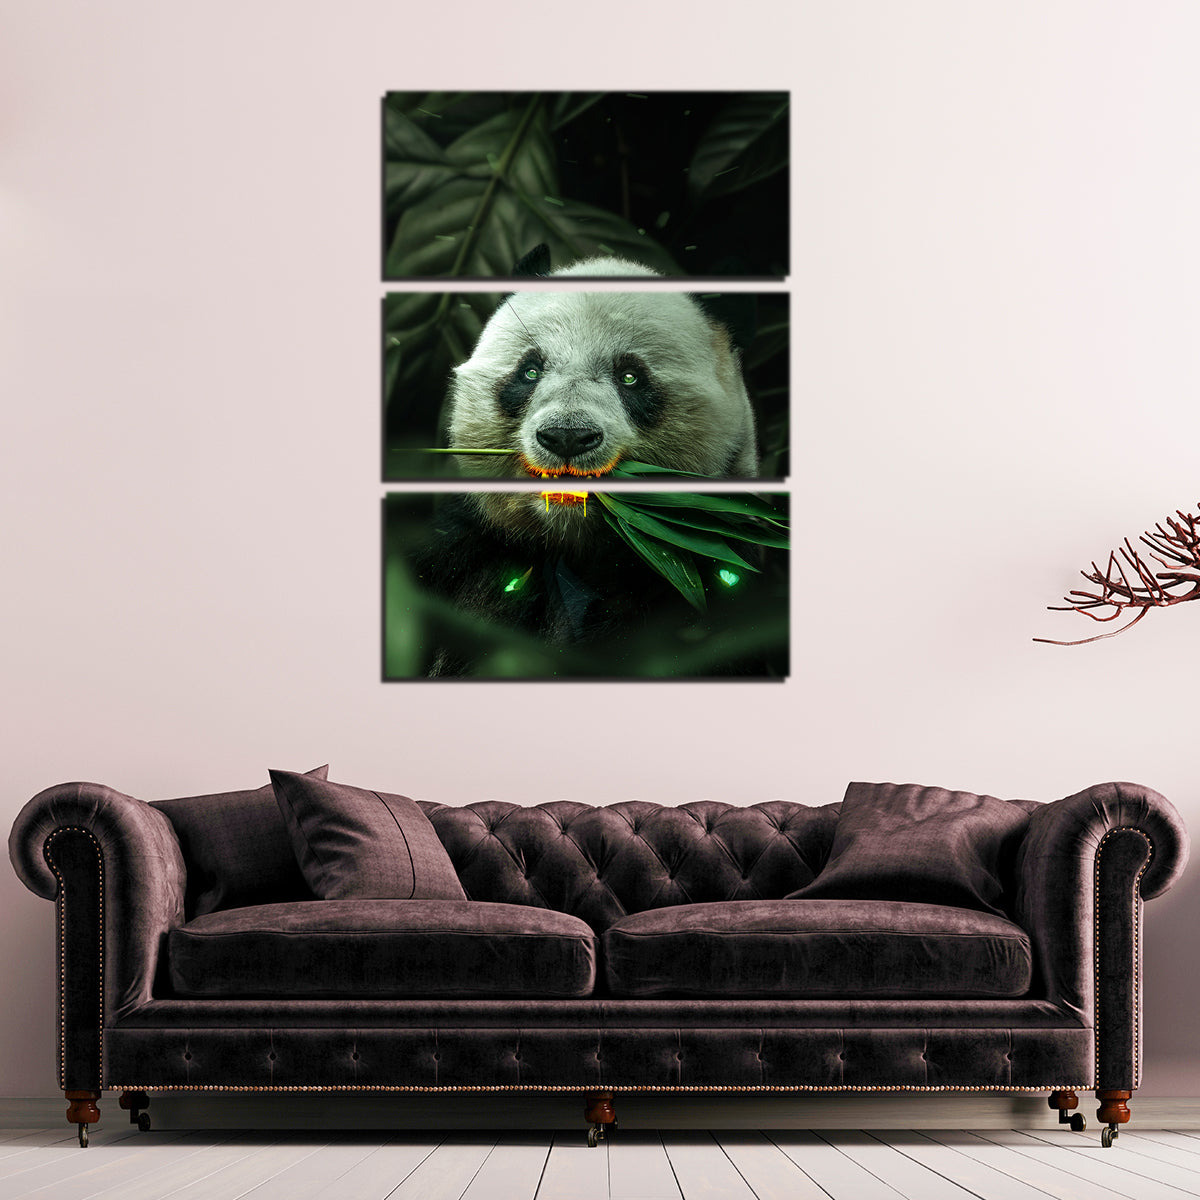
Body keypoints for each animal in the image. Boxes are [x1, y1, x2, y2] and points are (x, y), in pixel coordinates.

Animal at [407, 247, 778, 677]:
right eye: (530, 371)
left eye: (630, 377)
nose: (566, 436)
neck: (576, 543)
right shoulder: (469, 545)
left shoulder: (705, 571)